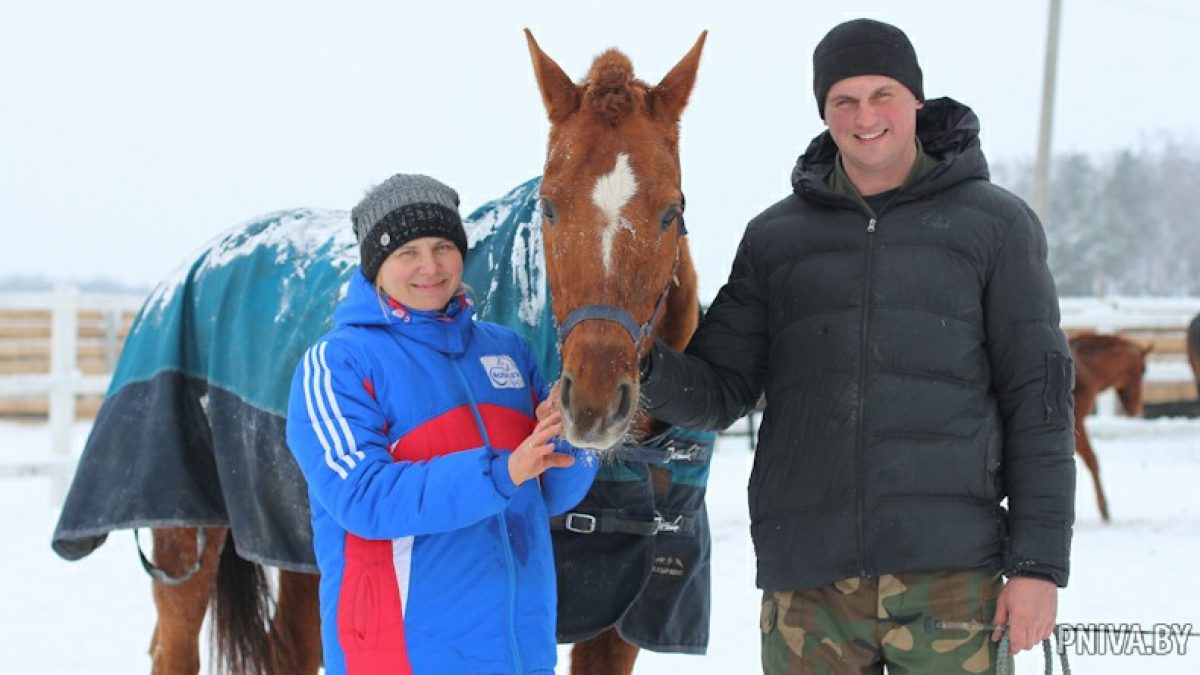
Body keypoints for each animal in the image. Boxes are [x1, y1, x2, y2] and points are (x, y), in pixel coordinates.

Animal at [1075, 331, 1147, 521]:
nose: (1136, 409)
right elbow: (1092, 460)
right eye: (1144, 370)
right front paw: (1104, 508)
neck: (1085, 368)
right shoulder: (1077, 422)